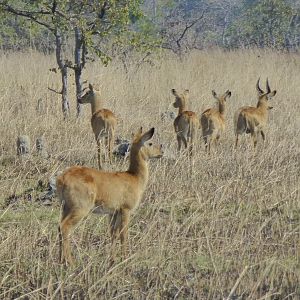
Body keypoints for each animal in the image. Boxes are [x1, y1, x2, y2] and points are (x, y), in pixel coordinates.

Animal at [56, 126, 164, 264]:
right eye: (150, 143)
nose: (161, 151)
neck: (134, 177)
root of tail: (62, 178)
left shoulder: (113, 213)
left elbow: (113, 234)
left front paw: (112, 260)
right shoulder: (125, 210)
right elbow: (124, 234)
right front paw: (125, 258)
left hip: (65, 208)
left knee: (59, 227)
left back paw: (60, 260)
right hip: (79, 209)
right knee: (65, 228)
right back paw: (70, 262)